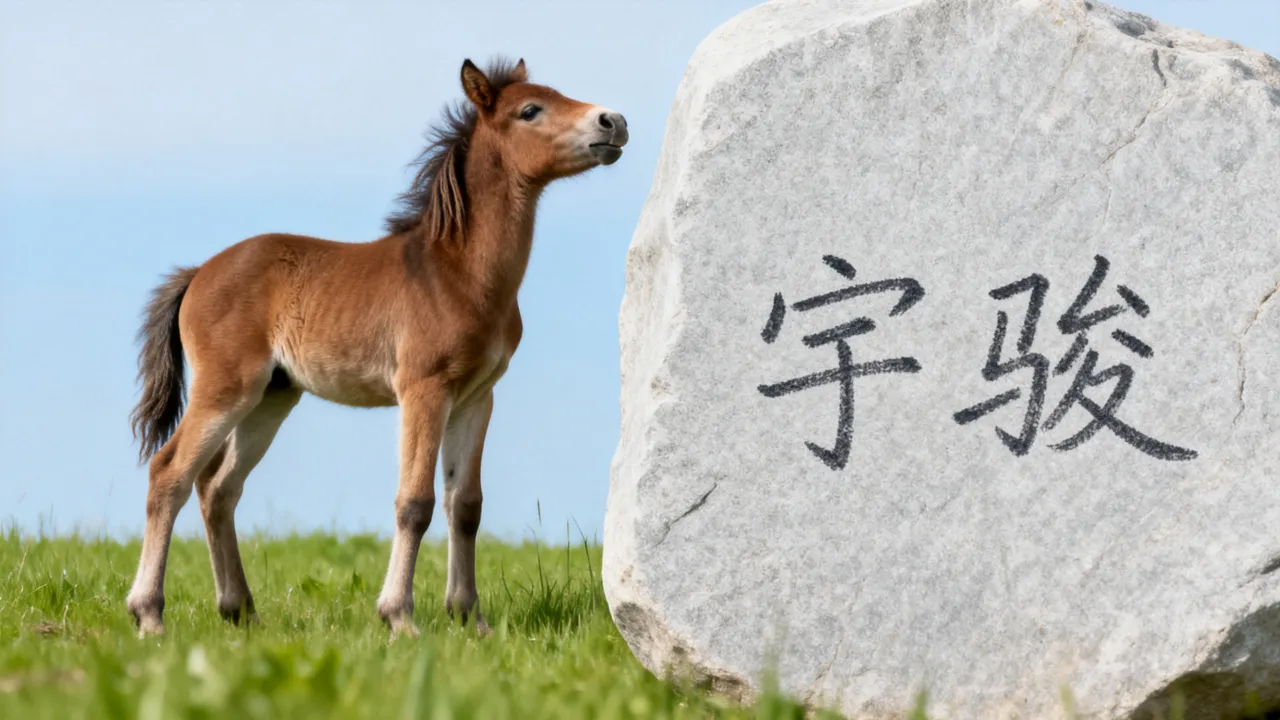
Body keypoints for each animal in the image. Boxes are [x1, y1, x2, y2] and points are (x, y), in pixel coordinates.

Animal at [124, 57, 628, 638]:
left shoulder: (477, 396)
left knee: (218, 487)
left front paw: (470, 619)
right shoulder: (424, 389)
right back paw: (150, 614)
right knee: (170, 474)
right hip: (227, 387)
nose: (613, 122)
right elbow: (415, 502)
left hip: (272, 397)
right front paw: (400, 617)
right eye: (530, 110)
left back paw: (240, 610)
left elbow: (466, 504)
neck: (458, 273)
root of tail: (198, 272)